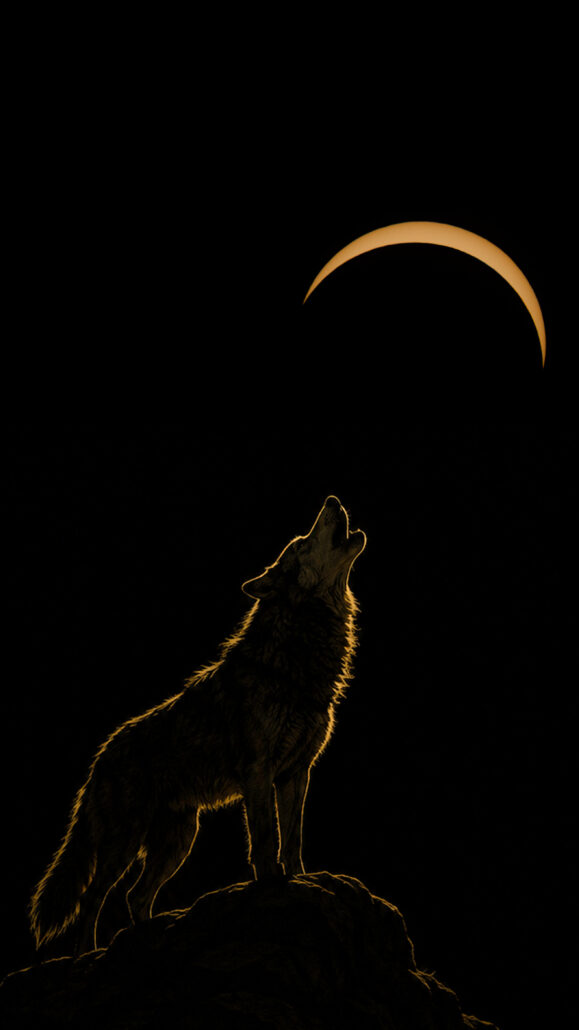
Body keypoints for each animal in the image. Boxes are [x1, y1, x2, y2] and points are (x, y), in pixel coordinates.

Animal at [29, 495, 366, 956]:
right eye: (301, 542)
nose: (332, 500)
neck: (296, 657)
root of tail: (101, 755)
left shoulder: (297, 772)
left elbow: (292, 837)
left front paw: (300, 880)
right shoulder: (259, 772)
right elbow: (265, 838)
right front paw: (271, 887)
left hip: (179, 839)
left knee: (136, 896)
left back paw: (149, 937)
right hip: (126, 841)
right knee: (93, 900)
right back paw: (87, 956)